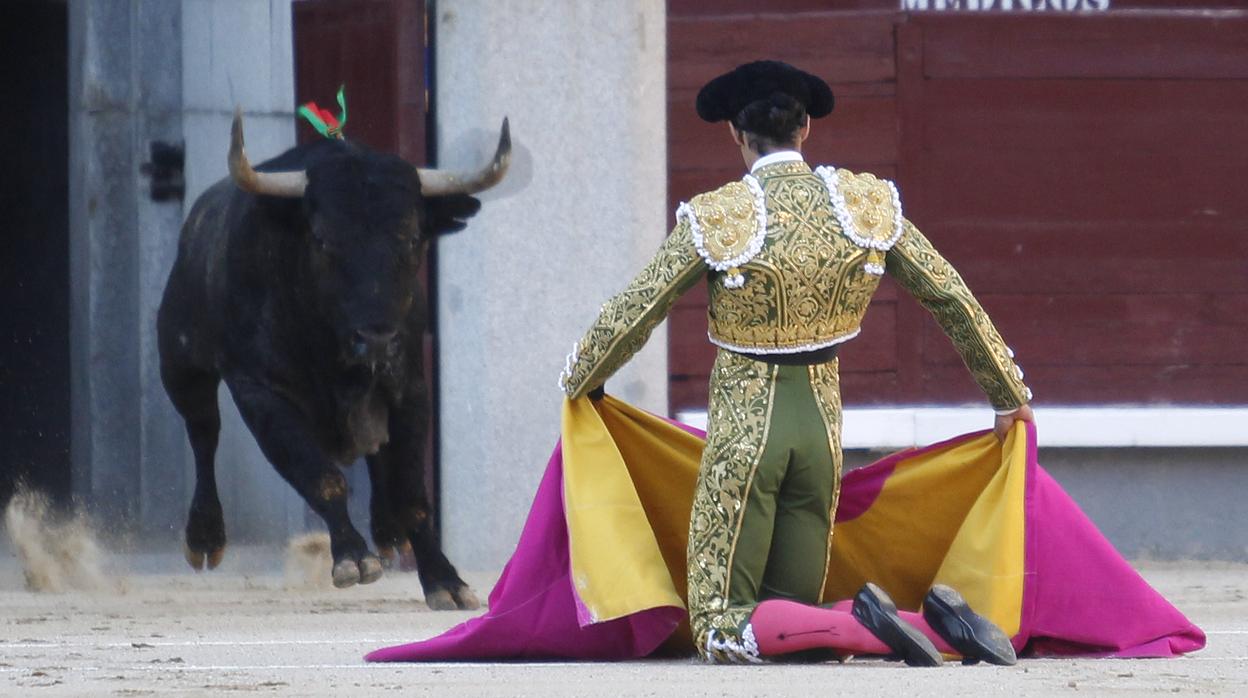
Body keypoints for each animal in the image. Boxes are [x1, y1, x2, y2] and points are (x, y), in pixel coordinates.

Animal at [158, 111, 509, 609]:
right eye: (323, 241)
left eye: (412, 237)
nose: (376, 340)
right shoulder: (261, 391)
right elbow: (321, 476)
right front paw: (353, 557)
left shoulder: (409, 387)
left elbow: (412, 493)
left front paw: (445, 580)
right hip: (181, 364)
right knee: (203, 434)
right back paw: (205, 537)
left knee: (375, 451)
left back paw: (388, 532)